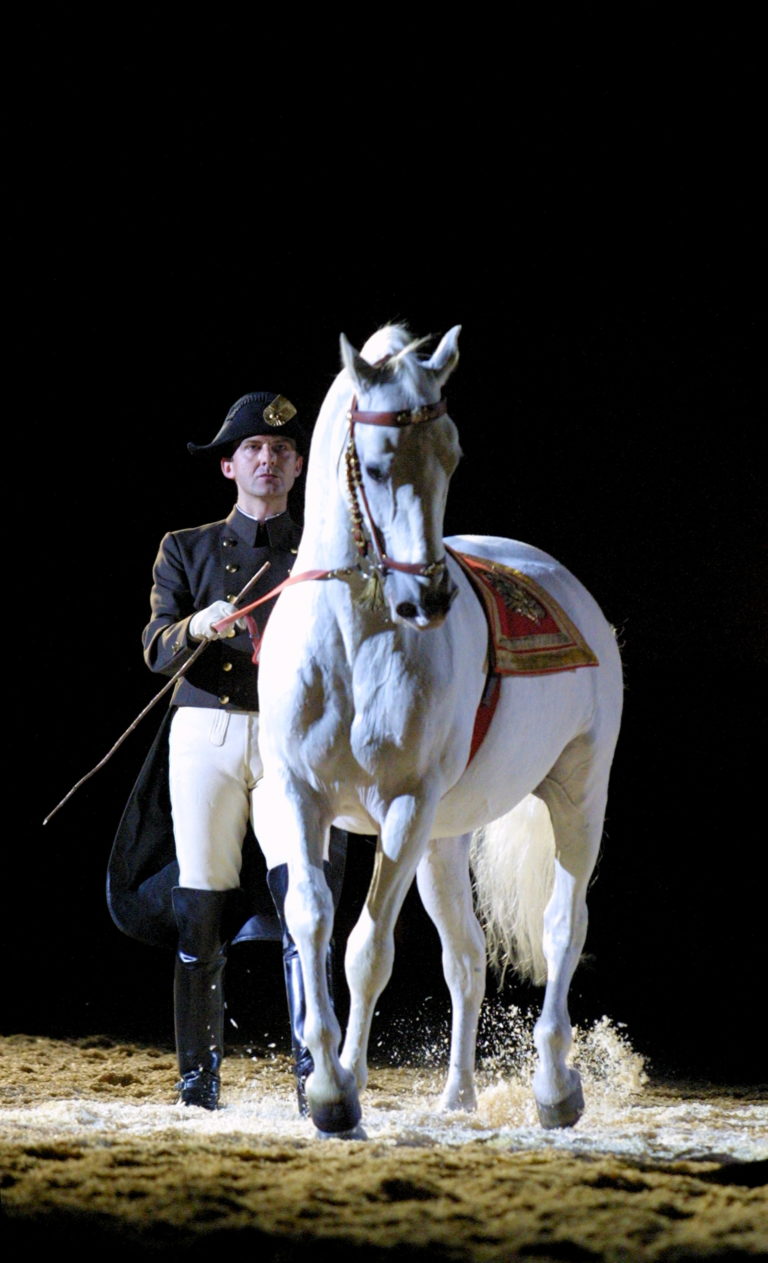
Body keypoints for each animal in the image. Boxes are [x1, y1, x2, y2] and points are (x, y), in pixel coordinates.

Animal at [253, 323, 623, 1137]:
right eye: (377, 462)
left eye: (452, 455)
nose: (427, 598)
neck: (354, 639)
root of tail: (561, 579)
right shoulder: (301, 796)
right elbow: (310, 918)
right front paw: (329, 1086)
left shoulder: (405, 805)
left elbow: (366, 949)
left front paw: (343, 1090)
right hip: (444, 839)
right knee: (467, 957)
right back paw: (458, 1097)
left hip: (576, 796)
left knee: (563, 925)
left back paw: (555, 1087)